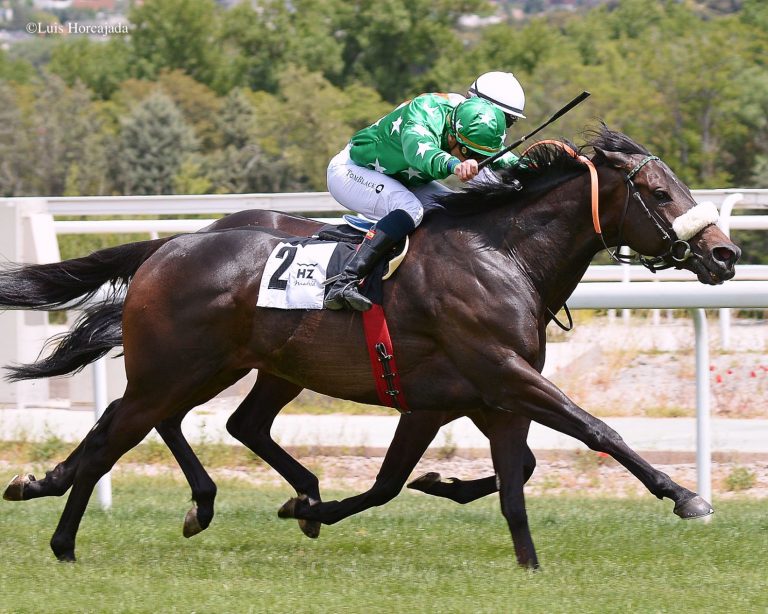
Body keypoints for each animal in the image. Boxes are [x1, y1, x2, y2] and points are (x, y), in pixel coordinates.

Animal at [1, 128, 739, 567]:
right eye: (657, 191)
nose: (725, 254)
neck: (502, 254)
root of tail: (169, 245)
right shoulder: (503, 375)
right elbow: (596, 430)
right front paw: (685, 496)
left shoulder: (464, 399)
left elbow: (489, 478)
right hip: (176, 367)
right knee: (117, 433)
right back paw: (63, 532)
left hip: (244, 366)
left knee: (213, 423)